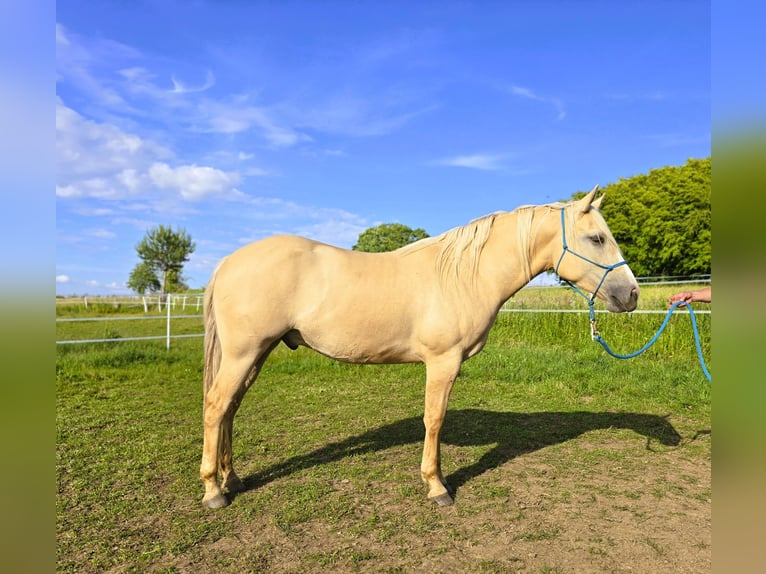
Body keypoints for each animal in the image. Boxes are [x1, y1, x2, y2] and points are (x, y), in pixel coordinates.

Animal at [199, 186, 639, 509]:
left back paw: (232, 478)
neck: (465, 275)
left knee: (230, 410)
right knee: (216, 407)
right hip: (243, 354)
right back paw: (214, 492)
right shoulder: (443, 362)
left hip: (256, 354)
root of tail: (227, 262)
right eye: (596, 238)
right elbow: (434, 420)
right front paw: (437, 487)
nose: (631, 294)